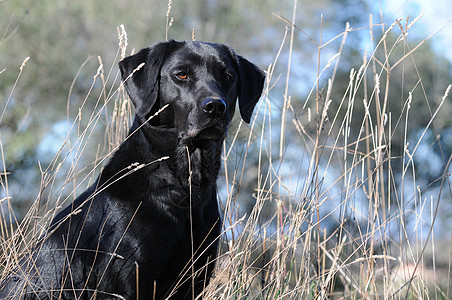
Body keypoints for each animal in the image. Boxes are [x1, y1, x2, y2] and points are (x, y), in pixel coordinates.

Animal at [0, 39, 264, 298]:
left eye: (227, 76)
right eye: (181, 75)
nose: (215, 106)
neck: (184, 186)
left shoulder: (194, 279)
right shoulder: (125, 280)